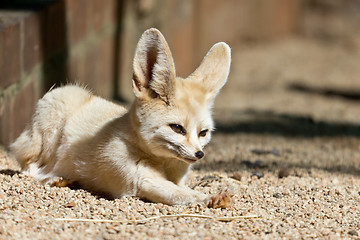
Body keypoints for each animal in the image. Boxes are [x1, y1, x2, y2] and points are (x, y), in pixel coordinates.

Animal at [11, 27, 232, 204]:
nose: (199, 154)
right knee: (29, 168)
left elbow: (183, 189)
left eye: (203, 133)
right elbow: (181, 194)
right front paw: (210, 197)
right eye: (177, 128)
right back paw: (54, 178)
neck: (165, 163)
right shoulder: (142, 181)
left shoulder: (174, 179)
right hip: (50, 129)